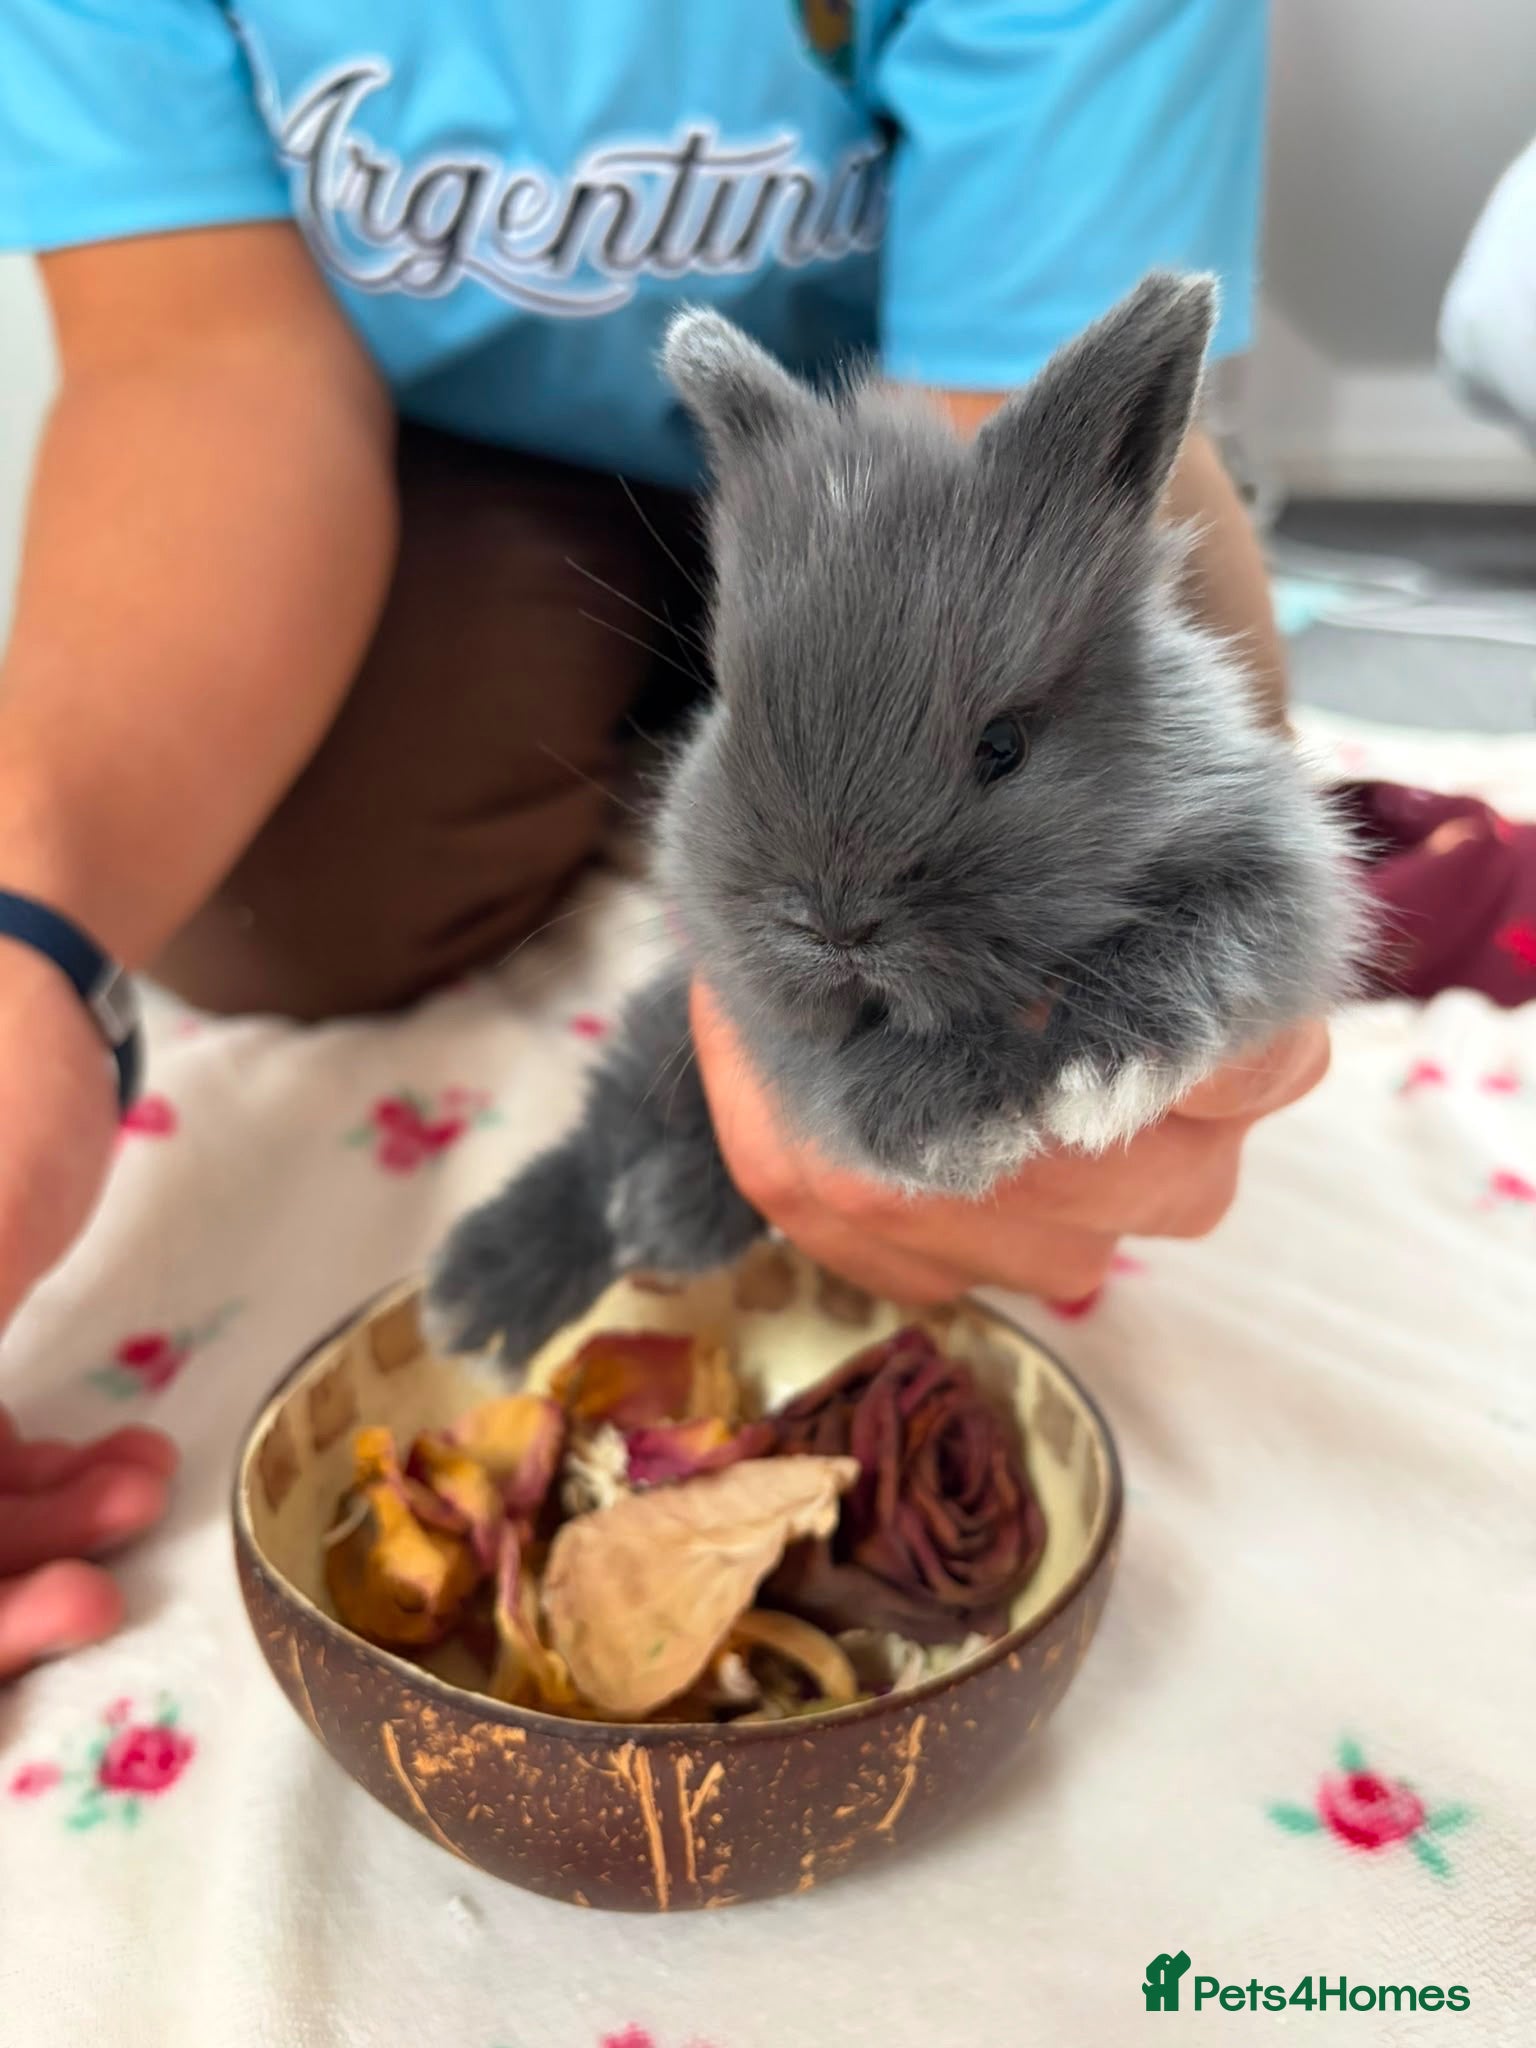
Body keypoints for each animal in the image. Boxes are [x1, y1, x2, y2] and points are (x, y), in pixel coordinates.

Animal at [426, 271, 1365, 1366]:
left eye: (1003, 744)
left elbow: (1219, 941)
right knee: (604, 1137)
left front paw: (1099, 1070)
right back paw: (500, 1284)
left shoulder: (1282, 871)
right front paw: (952, 1126)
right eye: (733, 709)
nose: (833, 928)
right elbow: (814, 1068)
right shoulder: (738, 989)